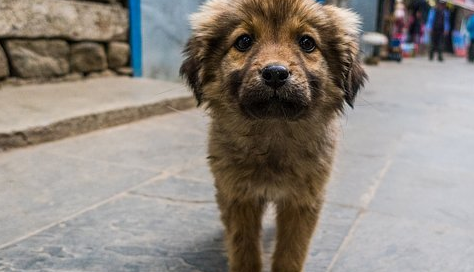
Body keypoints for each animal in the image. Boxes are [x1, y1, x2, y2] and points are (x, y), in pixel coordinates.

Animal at [181, 1, 366, 270]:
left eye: (307, 42)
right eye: (244, 41)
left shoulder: (303, 200)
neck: (273, 134)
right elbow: (244, 250)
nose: (276, 74)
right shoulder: (238, 195)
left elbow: (291, 252)